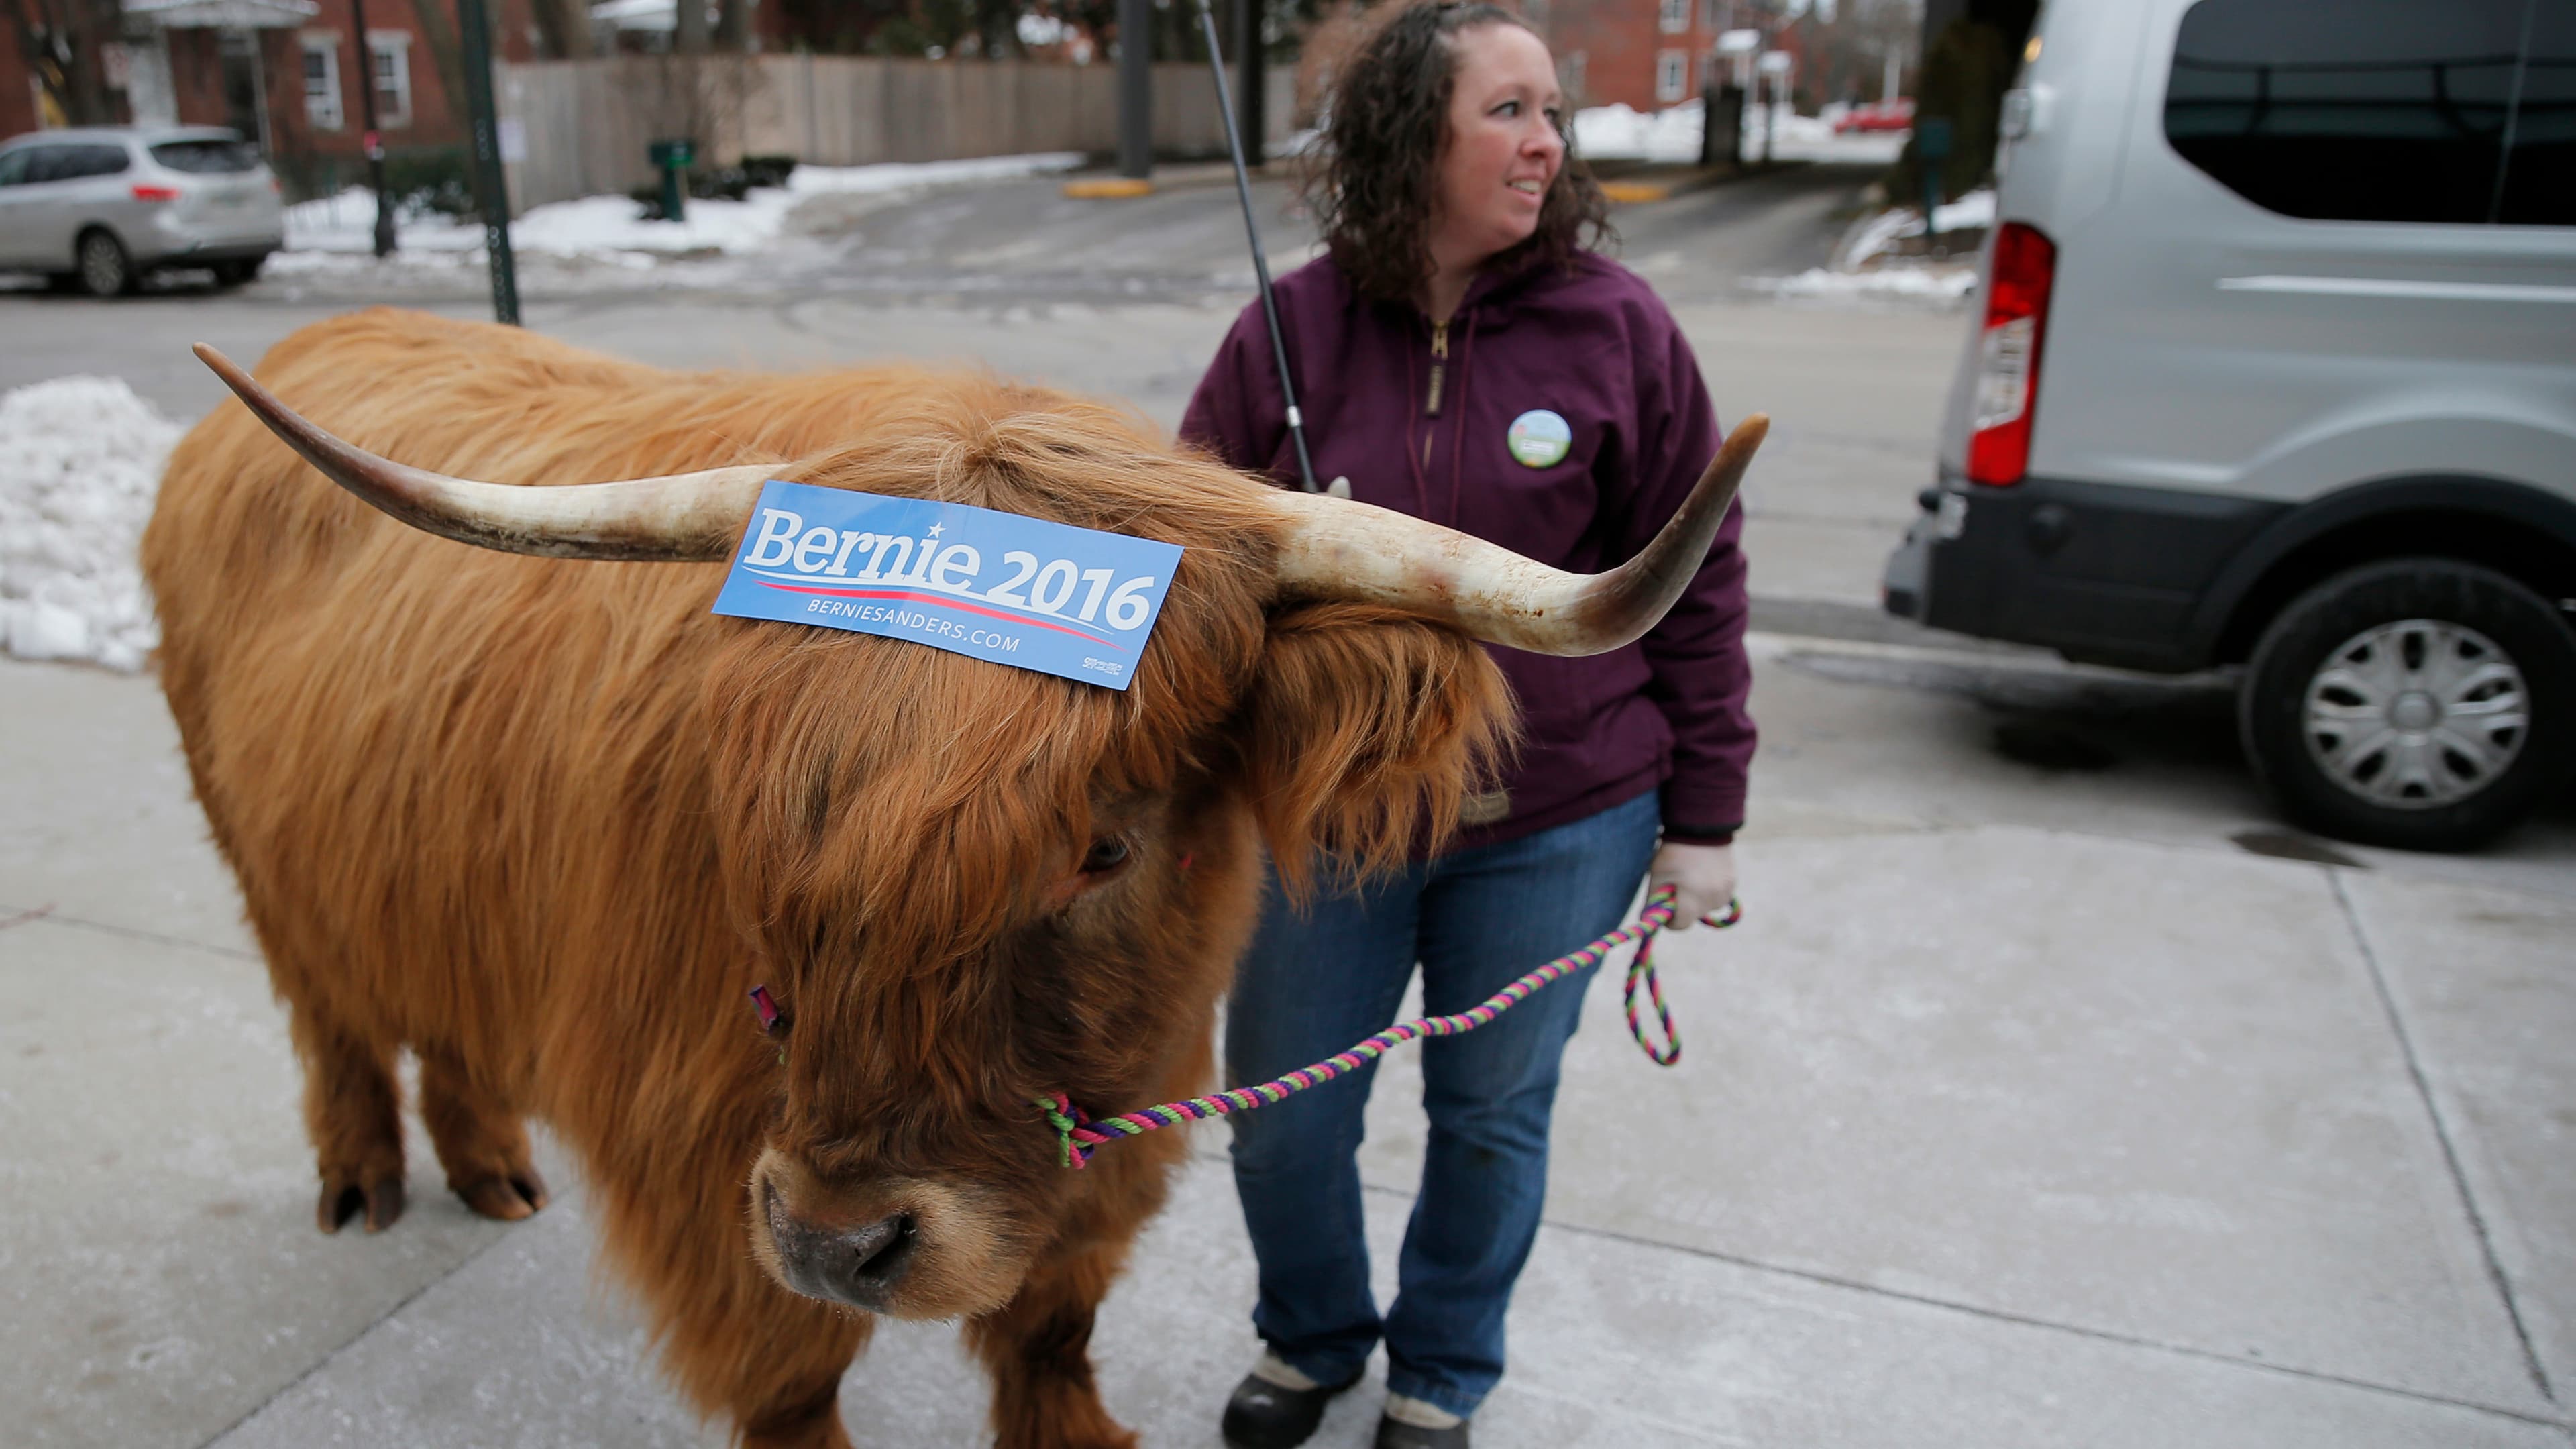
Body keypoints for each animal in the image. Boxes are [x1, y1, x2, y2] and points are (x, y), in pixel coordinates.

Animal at [140, 308, 1763, 1448]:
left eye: (1105, 844)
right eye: (753, 818)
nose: (838, 1238)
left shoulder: (1111, 1141)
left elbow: (1048, 1339)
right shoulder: (706, 1164)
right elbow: (790, 1379)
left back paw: (491, 1171)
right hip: (257, 857)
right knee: (334, 1015)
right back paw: (364, 1182)